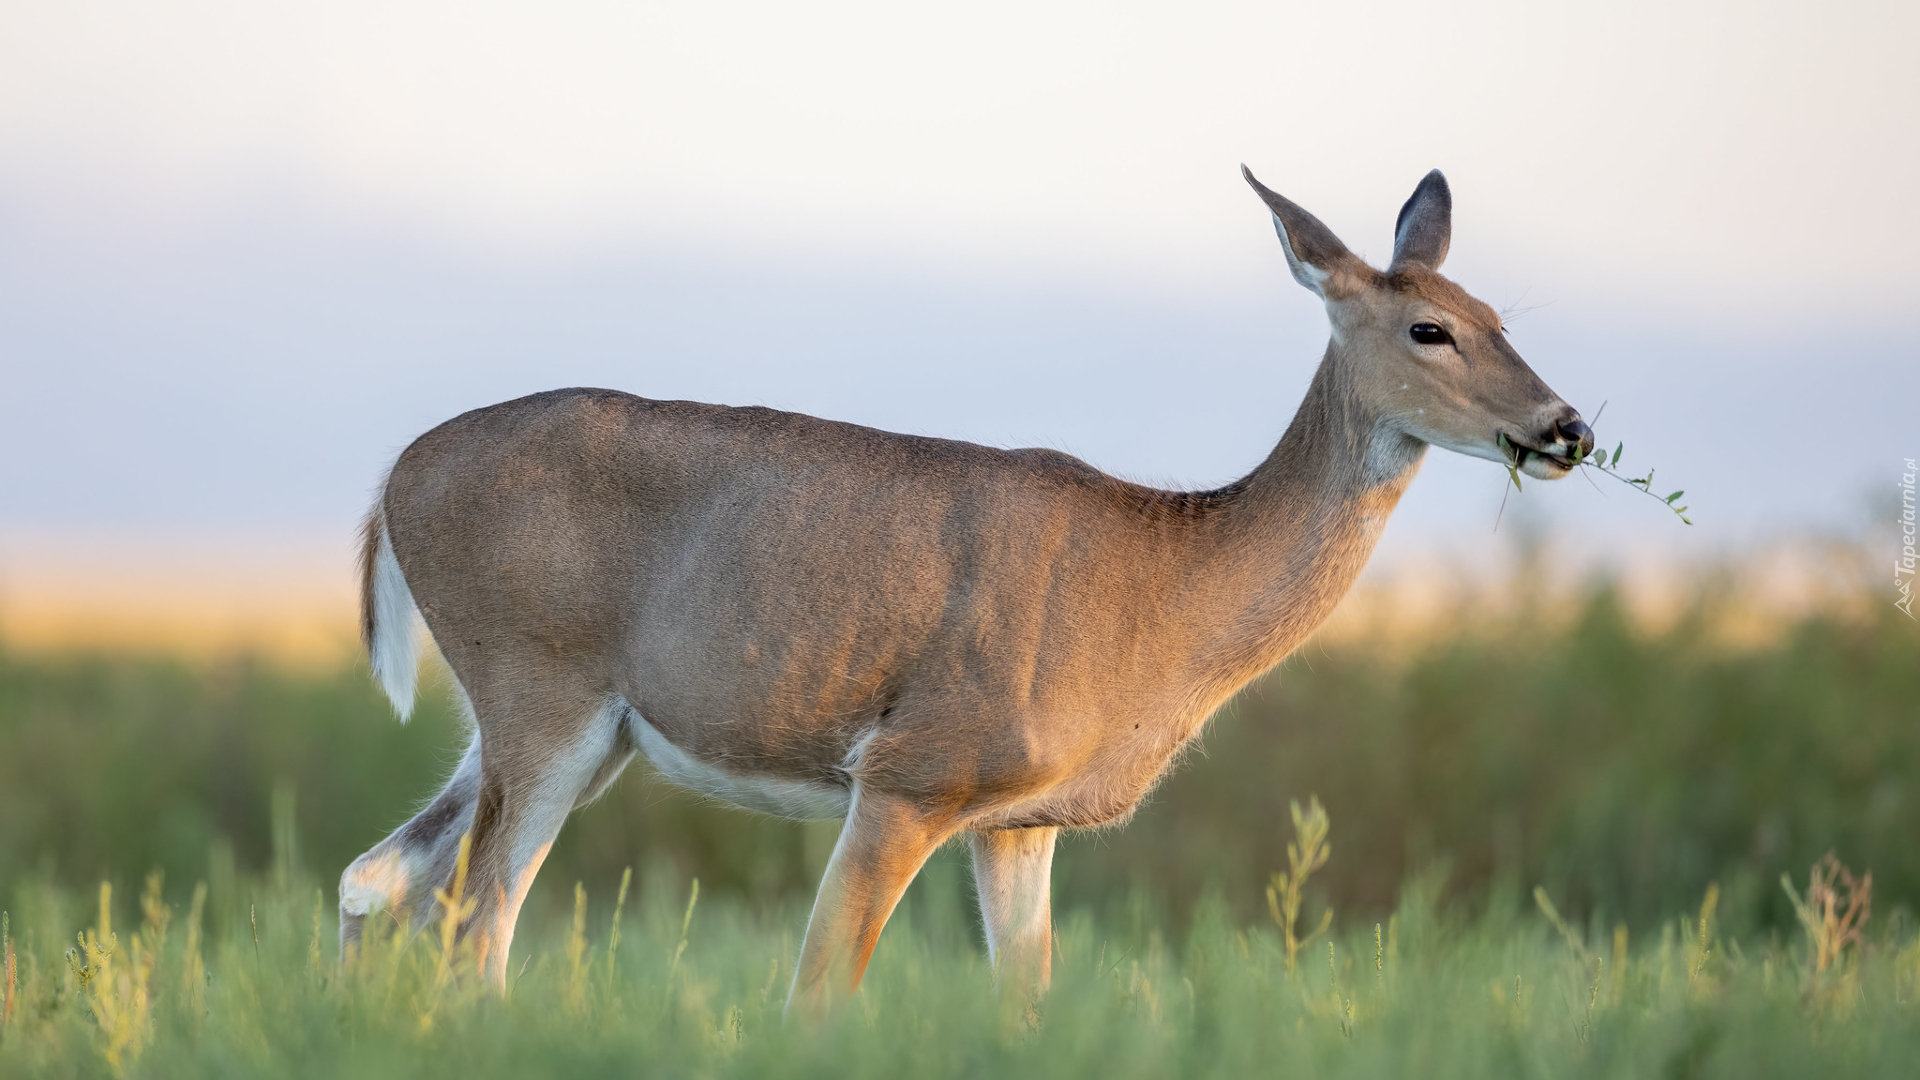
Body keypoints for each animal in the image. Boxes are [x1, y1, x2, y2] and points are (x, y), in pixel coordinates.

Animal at [341, 164, 1589, 1014]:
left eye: (1501, 321)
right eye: (1430, 329)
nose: (1567, 427)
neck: (1162, 593)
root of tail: (395, 480)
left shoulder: (1019, 821)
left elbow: (1024, 1003)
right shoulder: (913, 771)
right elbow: (817, 992)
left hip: (569, 729)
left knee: (376, 877)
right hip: (539, 688)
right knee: (473, 926)